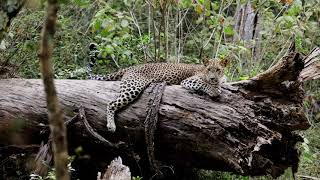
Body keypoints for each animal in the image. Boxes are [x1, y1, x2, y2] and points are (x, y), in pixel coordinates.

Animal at [89, 58, 229, 132]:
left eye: (218, 70)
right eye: (209, 69)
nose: (212, 78)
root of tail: (130, 67)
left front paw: (219, 83)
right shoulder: (189, 80)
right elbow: (204, 83)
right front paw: (214, 89)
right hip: (133, 88)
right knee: (111, 103)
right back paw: (111, 125)